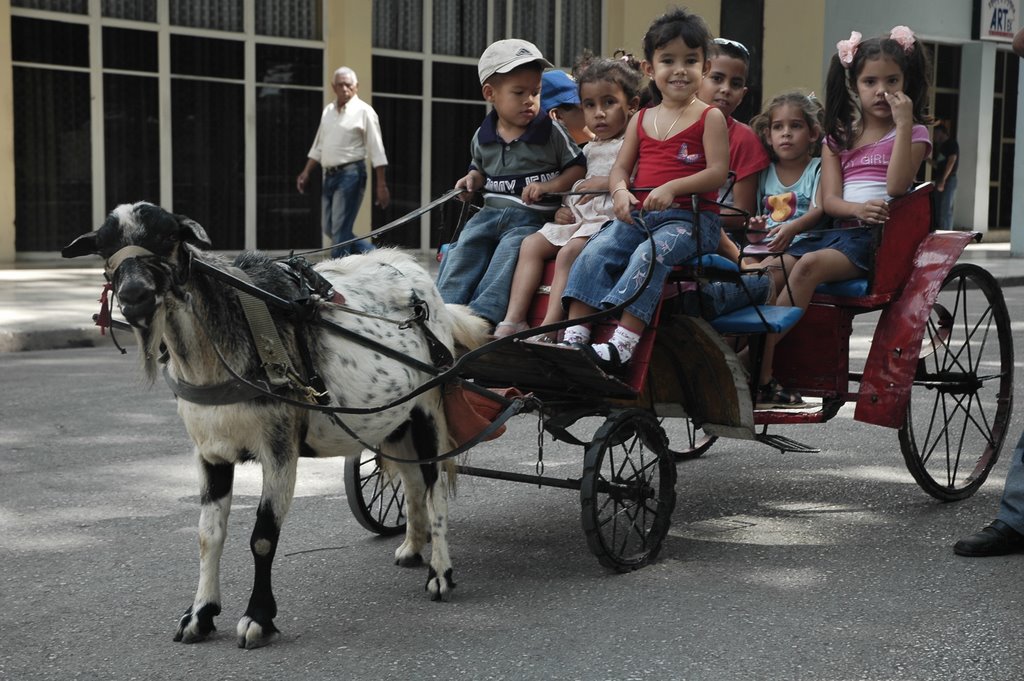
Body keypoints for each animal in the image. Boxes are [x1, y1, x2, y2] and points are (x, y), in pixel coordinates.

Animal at [61, 199, 489, 647]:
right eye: (105, 248)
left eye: (166, 236)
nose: (134, 296)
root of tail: (417, 274)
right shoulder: (210, 452)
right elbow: (208, 534)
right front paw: (199, 614)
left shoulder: (279, 449)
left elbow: (263, 537)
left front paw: (258, 618)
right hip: (394, 422)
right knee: (410, 479)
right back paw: (412, 547)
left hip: (427, 409)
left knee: (434, 486)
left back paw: (440, 573)